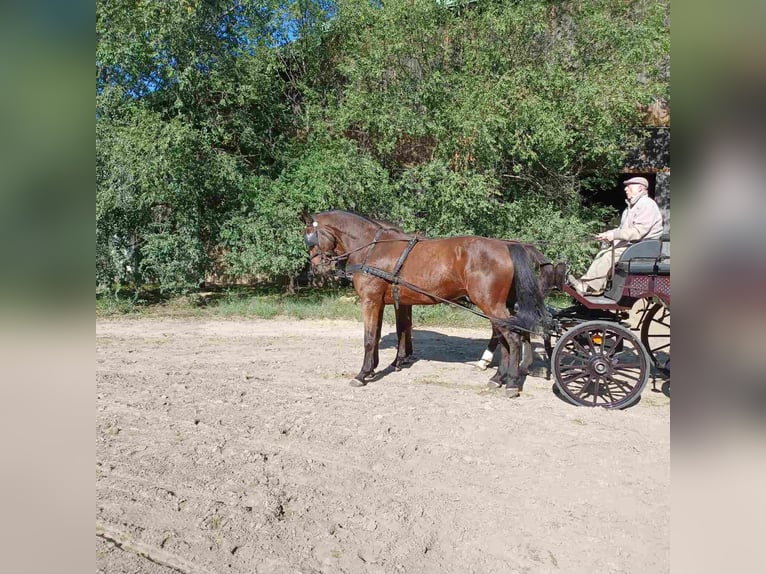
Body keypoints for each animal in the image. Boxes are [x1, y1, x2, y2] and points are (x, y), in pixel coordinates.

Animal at [304, 210, 548, 396]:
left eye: (310, 238)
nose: (317, 268)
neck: (372, 248)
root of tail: (506, 246)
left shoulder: (370, 301)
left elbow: (369, 338)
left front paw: (362, 374)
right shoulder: (383, 302)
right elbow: (389, 331)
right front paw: (376, 367)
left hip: (491, 304)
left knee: (513, 338)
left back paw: (512, 382)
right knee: (505, 337)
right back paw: (498, 377)